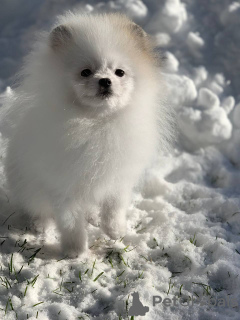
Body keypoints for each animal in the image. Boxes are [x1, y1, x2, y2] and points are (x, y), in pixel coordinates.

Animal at [4, 12, 172, 256]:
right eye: (85, 72)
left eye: (119, 72)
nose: (105, 80)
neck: (96, 123)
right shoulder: (64, 185)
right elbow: (70, 221)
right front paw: (75, 250)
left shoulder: (117, 179)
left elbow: (113, 209)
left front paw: (115, 231)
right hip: (29, 188)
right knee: (38, 208)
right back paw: (41, 225)